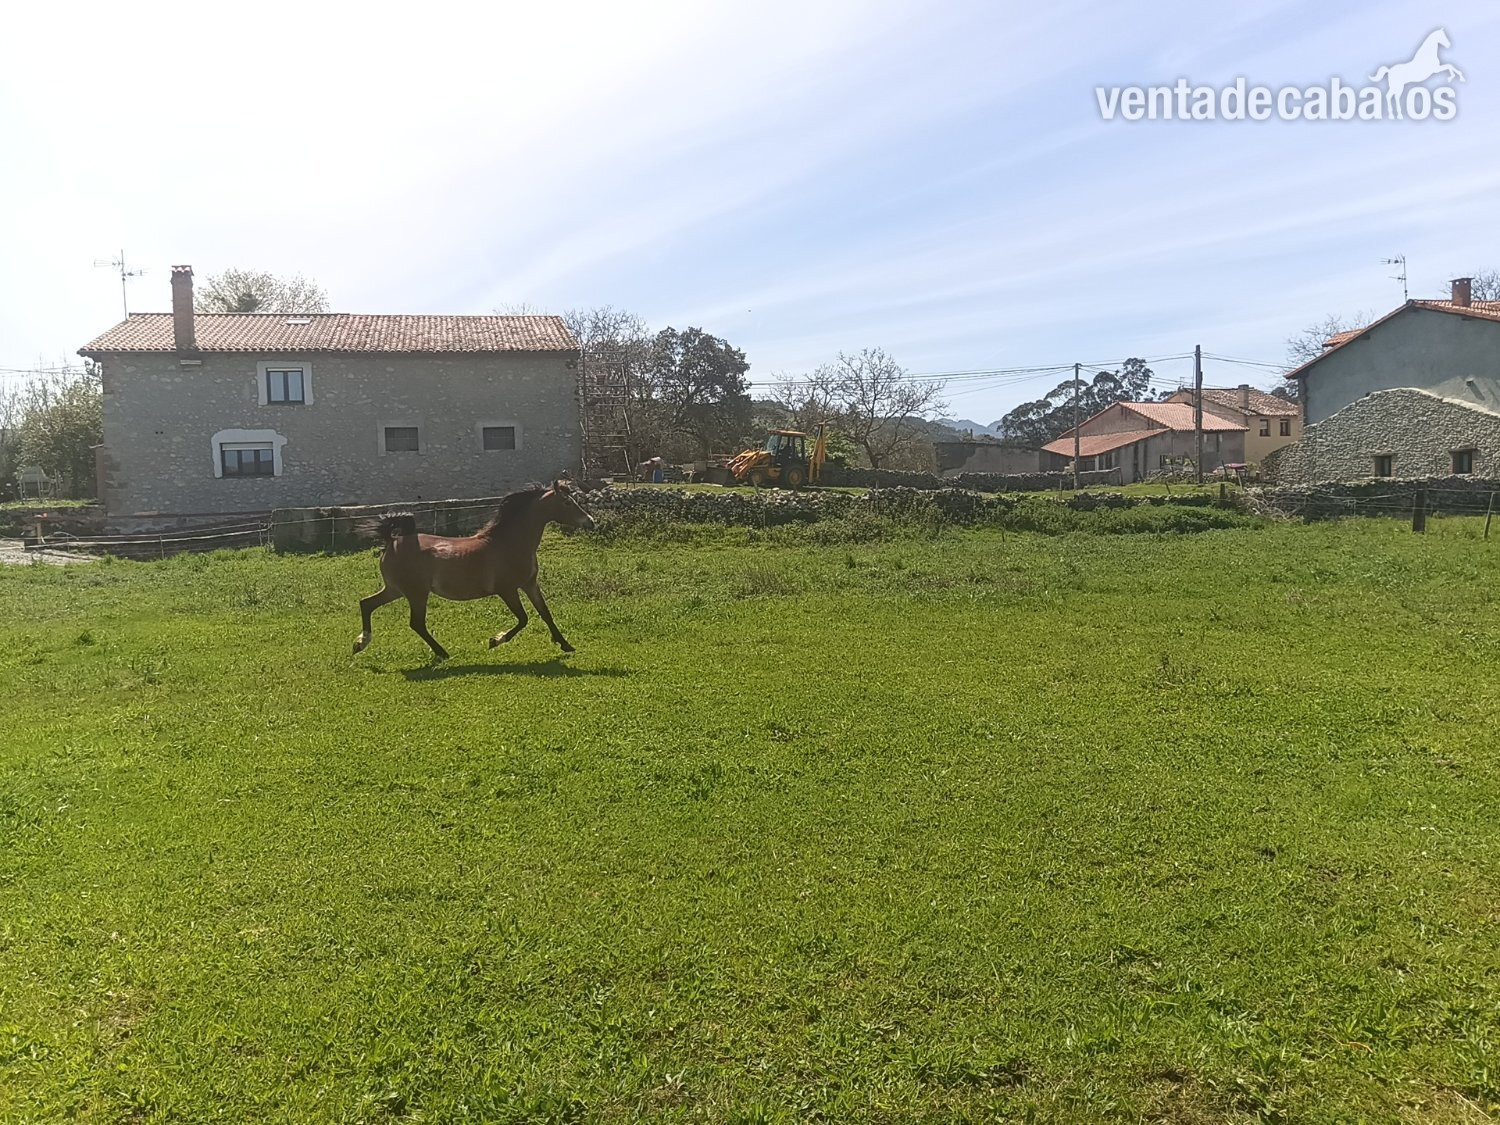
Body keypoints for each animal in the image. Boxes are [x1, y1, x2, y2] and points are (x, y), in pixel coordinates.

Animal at [352, 481, 596, 661]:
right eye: (566, 502)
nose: (591, 522)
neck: (510, 542)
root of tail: (391, 541)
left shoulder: (529, 584)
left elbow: (545, 613)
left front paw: (565, 644)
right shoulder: (507, 590)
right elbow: (523, 619)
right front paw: (495, 640)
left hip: (396, 590)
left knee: (367, 604)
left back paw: (360, 643)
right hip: (416, 593)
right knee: (416, 623)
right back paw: (443, 653)